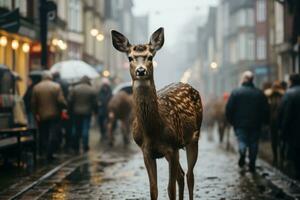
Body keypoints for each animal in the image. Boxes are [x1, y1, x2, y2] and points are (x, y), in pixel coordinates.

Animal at [111, 27, 203, 199]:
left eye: (150, 57)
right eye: (130, 58)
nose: (141, 71)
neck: (153, 130)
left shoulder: (172, 147)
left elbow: (170, 189)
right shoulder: (147, 151)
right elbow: (154, 189)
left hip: (194, 136)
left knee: (190, 176)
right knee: (181, 175)